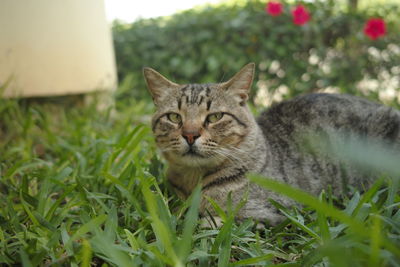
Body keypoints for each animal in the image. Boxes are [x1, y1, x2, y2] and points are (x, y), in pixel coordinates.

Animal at [144, 63, 400, 225]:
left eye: (215, 117)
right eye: (174, 117)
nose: (190, 135)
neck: (193, 179)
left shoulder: (270, 212)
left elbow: (203, 219)